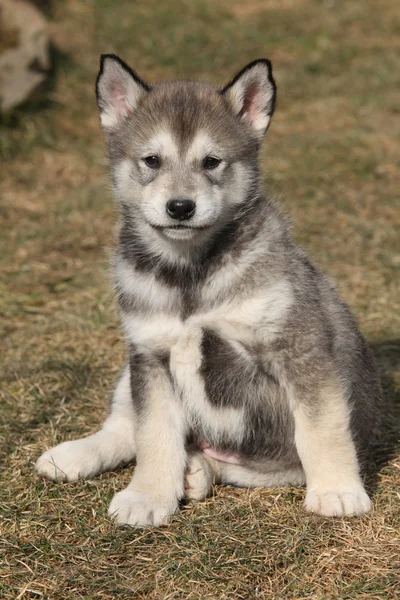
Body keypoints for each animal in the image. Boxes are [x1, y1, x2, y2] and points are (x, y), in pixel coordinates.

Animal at [35, 55, 382, 524]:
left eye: (212, 162)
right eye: (152, 160)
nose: (180, 207)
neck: (190, 275)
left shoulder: (299, 347)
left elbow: (320, 427)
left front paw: (337, 491)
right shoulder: (150, 353)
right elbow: (153, 434)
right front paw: (147, 496)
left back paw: (198, 471)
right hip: (129, 372)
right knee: (124, 428)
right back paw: (75, 455)